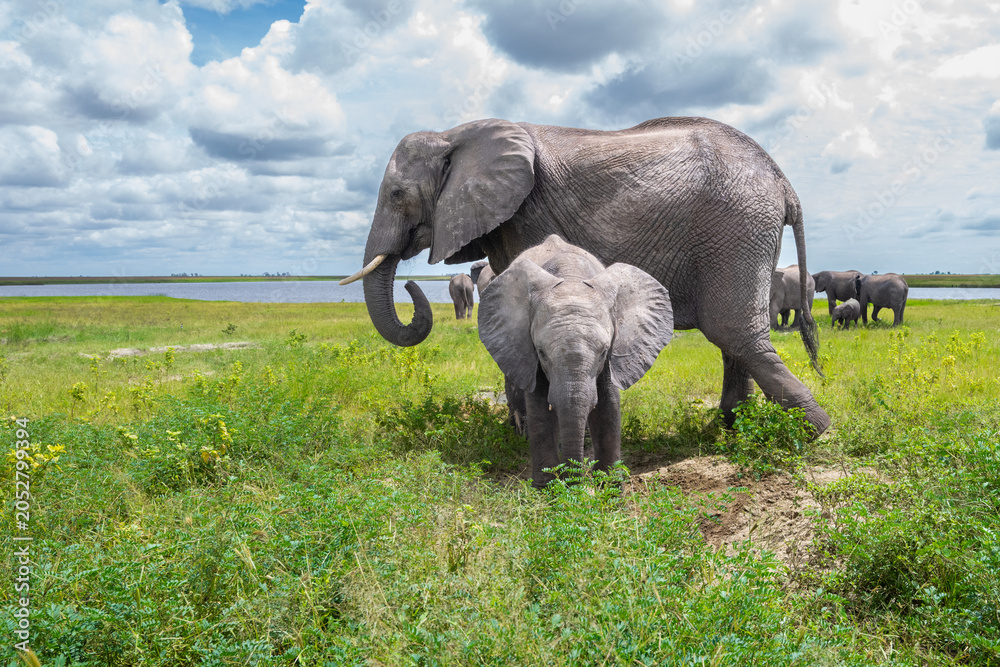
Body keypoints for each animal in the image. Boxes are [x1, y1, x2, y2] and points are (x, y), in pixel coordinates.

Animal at [340, 116, 830, 435]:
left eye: (397, 194)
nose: (410, 285)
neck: (454, 135)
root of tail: (783, 183)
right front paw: (520, 429)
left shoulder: (527, 215)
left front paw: (526, 433)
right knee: (736, 339)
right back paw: (730, 428)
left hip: (734, 228)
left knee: (734, 331)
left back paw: (815, 431)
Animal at [478, 235, 673, 487]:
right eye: (541, 352)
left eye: (603, 352)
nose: (575, 484)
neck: (571, 277)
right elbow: (539, 408)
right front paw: (547, 489)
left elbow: (608, 405)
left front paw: (610, 489)